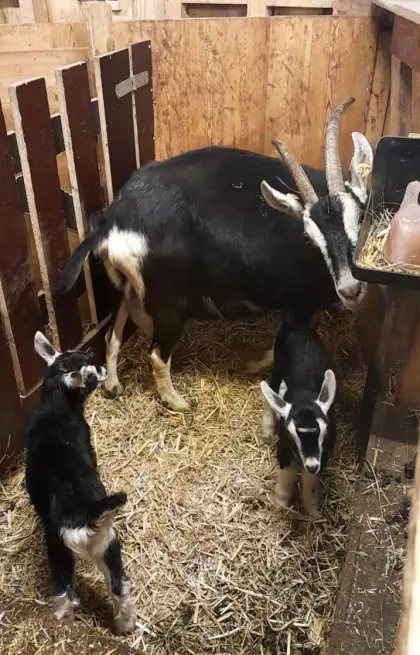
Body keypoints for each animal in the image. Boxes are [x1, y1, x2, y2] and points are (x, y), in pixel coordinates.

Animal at [24, 332, 135, 634]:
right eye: (91, 373)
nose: (103, 370)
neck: (54, 412)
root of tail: (85, 514)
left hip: (63, 552)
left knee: (66, 596)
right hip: (107, 545)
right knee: (118, 588)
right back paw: (125, 626)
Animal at [54, 98, 372, 412]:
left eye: (360, 218)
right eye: (308, 237)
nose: (351, 289)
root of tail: (113, 219)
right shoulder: (297, 304)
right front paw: (256, 363)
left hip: (125, 286)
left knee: (113, 331)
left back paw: (112, 385)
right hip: (170, 302)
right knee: (156, 353)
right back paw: (178, 402)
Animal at [260, 314, 336, 516]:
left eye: (323, 433)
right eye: (293, 434)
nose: (311, 465)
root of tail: (295, 325)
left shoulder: (324, 452)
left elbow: (311, 481)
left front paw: (312, 510)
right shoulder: (285, 446)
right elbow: (287, 472)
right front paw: (280, 502)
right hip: (278, 367)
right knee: (270, 386)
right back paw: (267, 427)